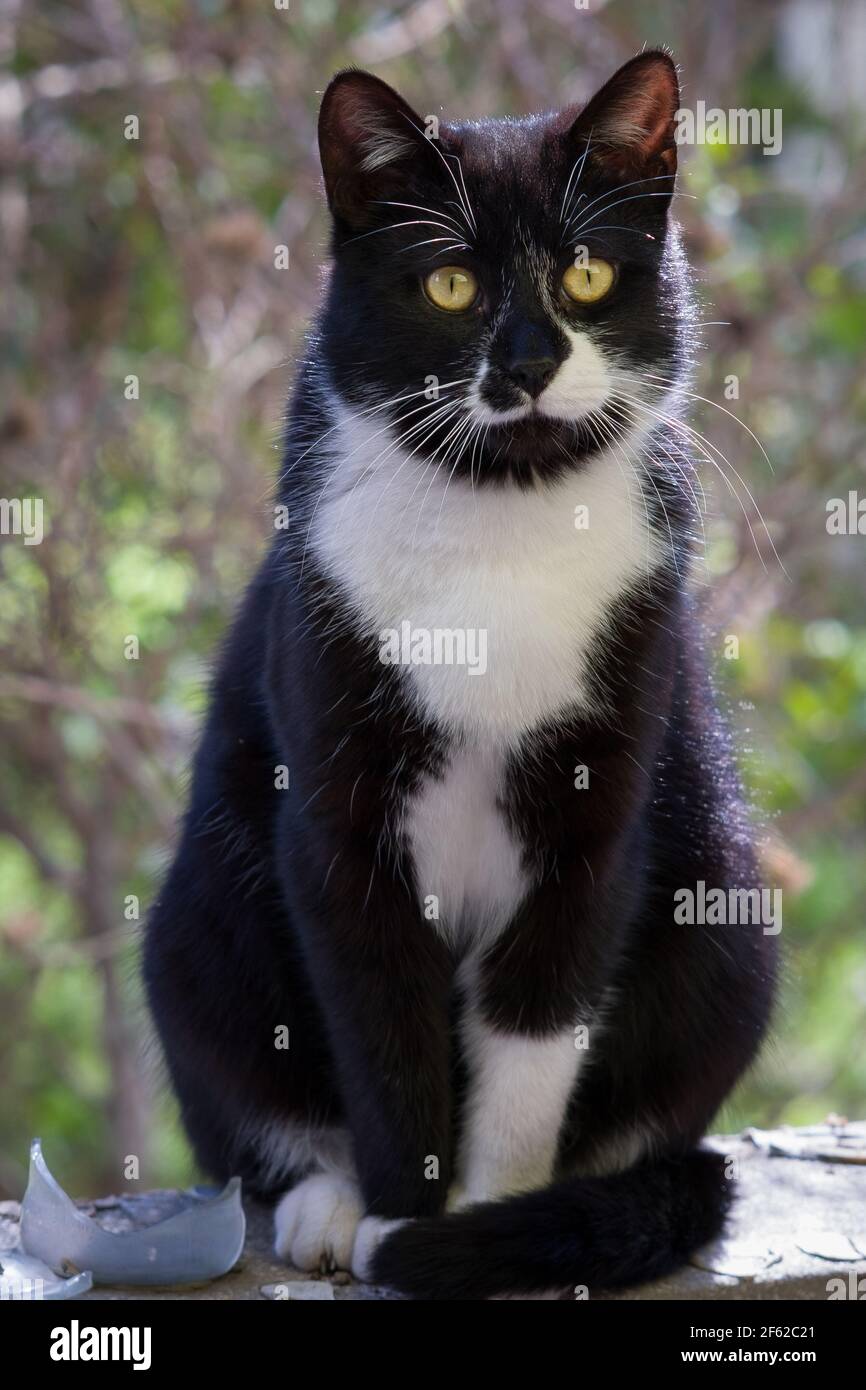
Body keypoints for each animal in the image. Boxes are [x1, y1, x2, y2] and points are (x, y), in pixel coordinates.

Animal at [143, 48, 778, 1295]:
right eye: (447, 285)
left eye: (585, 271)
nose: (529, 362)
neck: (499, 518)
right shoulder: (334, 814)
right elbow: (384, 1033)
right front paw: (399, 1214)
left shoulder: (599, 813)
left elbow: (532, 1034)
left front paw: (478, 1220)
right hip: (195, 922)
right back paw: (325, 1205)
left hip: (727, 914)